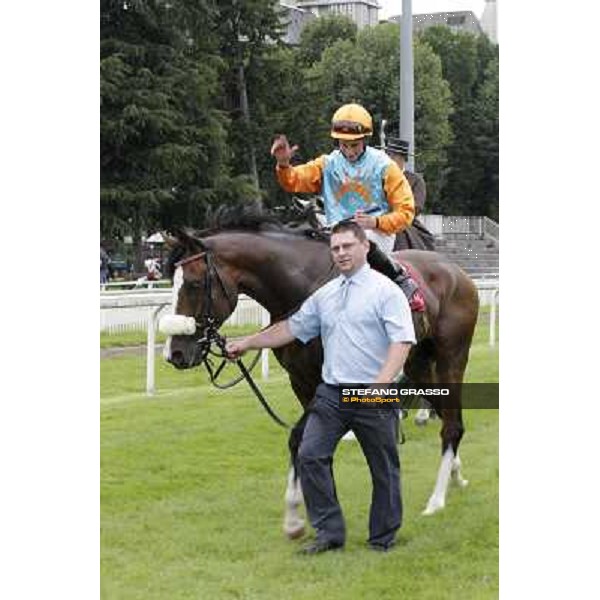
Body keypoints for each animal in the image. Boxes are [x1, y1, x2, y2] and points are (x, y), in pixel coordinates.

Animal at [162, 212, 480, 540]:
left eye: (194, 284)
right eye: (170, 283)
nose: (175, 353)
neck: (302, 288)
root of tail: (456, 270)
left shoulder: (326, 381)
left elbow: (298, 437)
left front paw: (294, 516)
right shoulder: (300, 381)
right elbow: (310, 441)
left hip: (452, 357)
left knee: (452, 425)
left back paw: (436, 499)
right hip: (418, 364)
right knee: (447, 414)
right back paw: (455, 474)